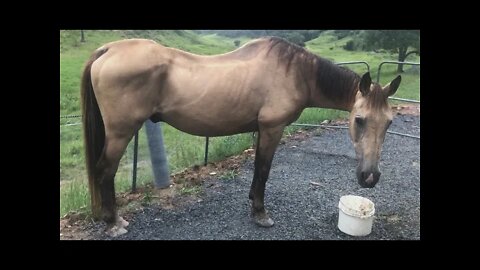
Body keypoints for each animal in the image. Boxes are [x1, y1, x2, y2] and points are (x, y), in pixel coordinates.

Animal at [81, 36, 402, 236]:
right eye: (359, 120)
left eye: (389, 122)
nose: (370, 177)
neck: (296, 73)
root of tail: (108, 50)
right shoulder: (272, 128)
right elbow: (263, 169)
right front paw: (260, 213)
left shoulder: (261, 130)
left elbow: (258, 170)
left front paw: (252, 201)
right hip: (120, 133)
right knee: (105, 170)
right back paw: (114, 222)